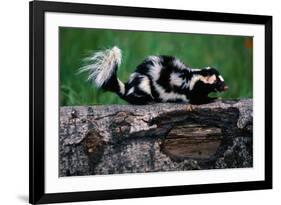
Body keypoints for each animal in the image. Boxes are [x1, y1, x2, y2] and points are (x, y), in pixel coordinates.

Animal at [79, 46, 228, 104]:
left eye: (222, 80)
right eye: (217, 82)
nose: (226, 87)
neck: (195, 76)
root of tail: (127, 86)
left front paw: (214, 97)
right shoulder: (192, 90)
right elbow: (197, 99)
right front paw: (214, 99)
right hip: (143, 82)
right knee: (138, 94)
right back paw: (147, 100)